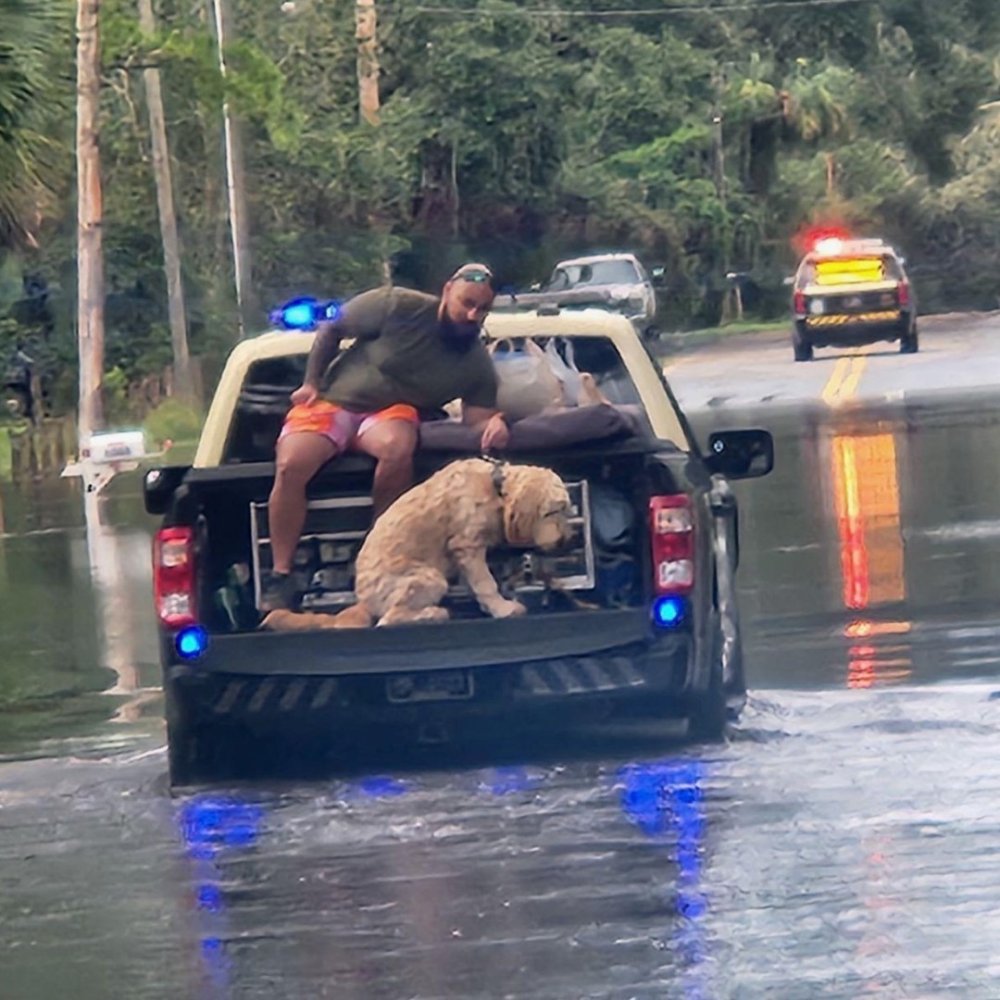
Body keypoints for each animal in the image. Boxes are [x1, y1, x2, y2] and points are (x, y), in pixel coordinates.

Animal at [262, 458, 576, 628]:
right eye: (551, 512)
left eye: (566, 509)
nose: (566, 541)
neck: (495, 486)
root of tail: (362, 601)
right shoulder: (467, 545)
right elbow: (486, 583)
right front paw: (503, 609)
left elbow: (478, 584)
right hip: (429, 578)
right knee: (387, 620)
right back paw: (434, 613)